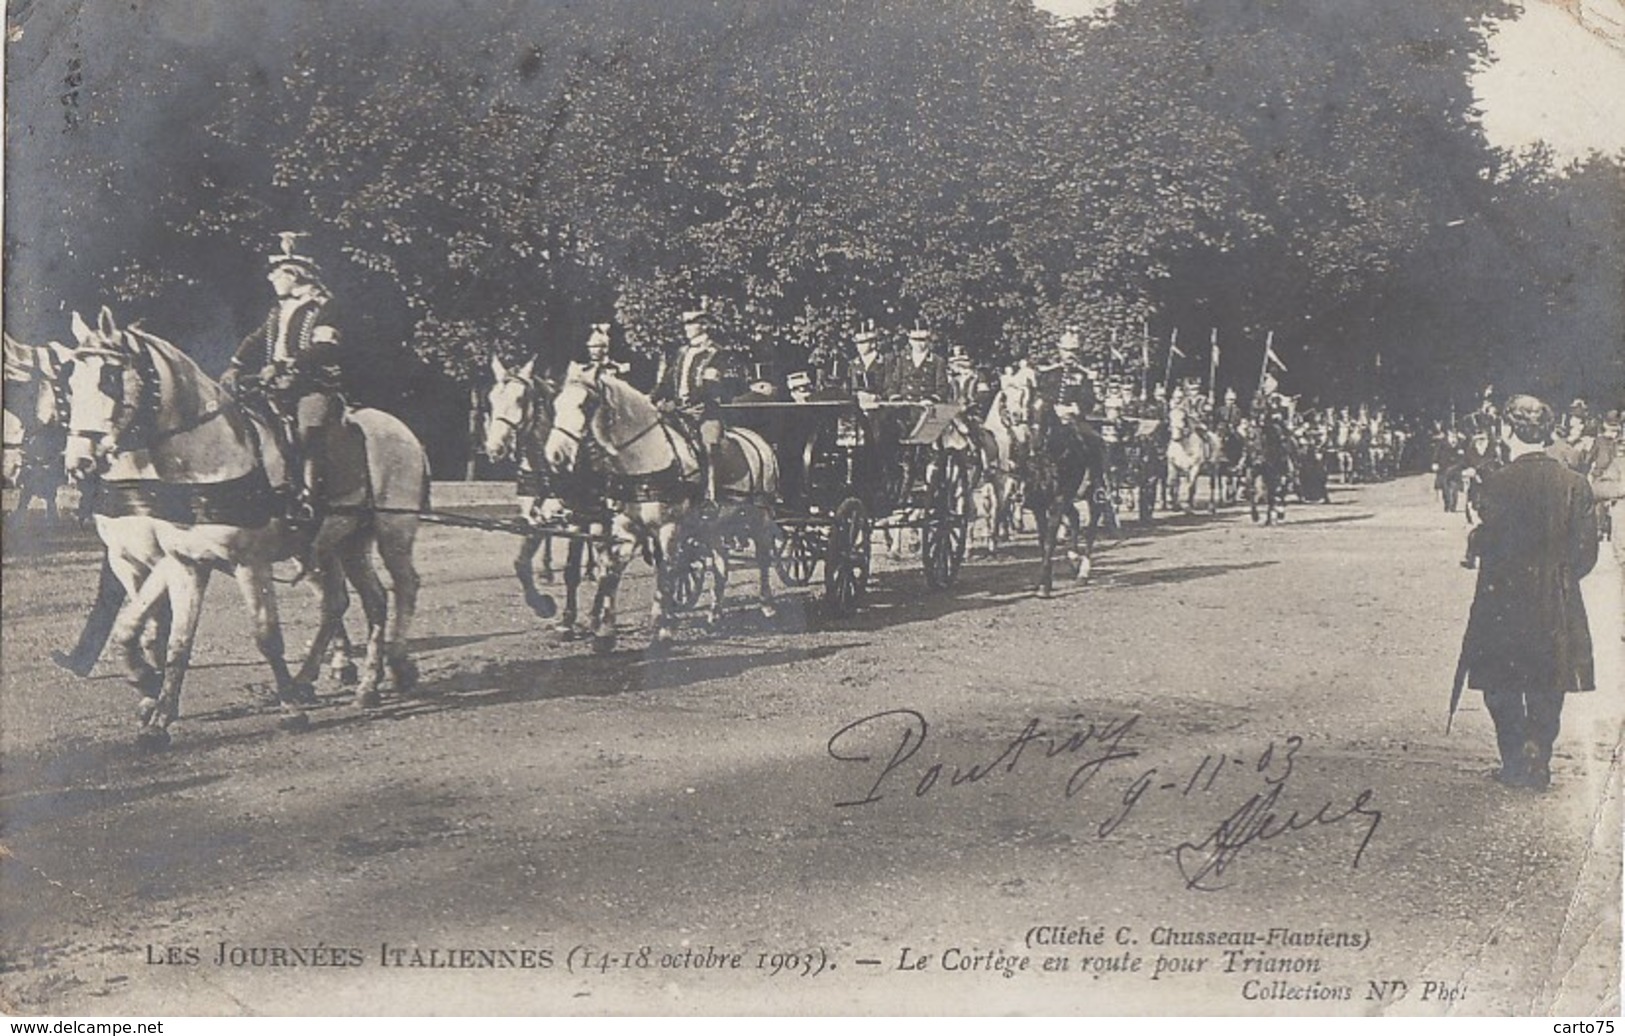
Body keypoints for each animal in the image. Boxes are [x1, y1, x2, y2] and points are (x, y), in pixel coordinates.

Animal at [66, 308, 429, 746]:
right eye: (70, 382)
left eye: (109, 377)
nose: (78, 462)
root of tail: (402, 430)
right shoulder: (180, 562)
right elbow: (171, 639)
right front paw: (157, 716)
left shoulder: (247, 562)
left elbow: (265, 635)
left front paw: (289, 711)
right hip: (343, 542)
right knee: (362, 601)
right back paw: (357, 685)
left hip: (393, 531)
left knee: (403, 587)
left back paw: (393, 665)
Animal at [542, 365, 776, 652]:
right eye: (555, 405)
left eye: (585, 405)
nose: (554, 456)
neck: (646, 460)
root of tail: (757, 440)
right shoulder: (624, 529)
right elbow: (610, 573)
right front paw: (603, 633)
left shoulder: (668, 528)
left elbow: (666, 573)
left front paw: (661, 629)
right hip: (712, 525)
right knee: (722, 562)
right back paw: (715, 613)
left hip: (759, 516)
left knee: (764, 556)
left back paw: (767, 605)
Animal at [1020, 407, 1111, 600]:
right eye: (1030, 409)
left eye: (1047, 410)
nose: (1036, 443)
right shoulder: (1039, 505)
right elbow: (1043, 540)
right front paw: (1045, 581)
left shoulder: (1059, 500)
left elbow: (1050, 540)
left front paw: (1044, 587)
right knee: (1075, 517)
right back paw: (1074, 558)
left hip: (1092, 491)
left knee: (1092, 525)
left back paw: (1083, 572)